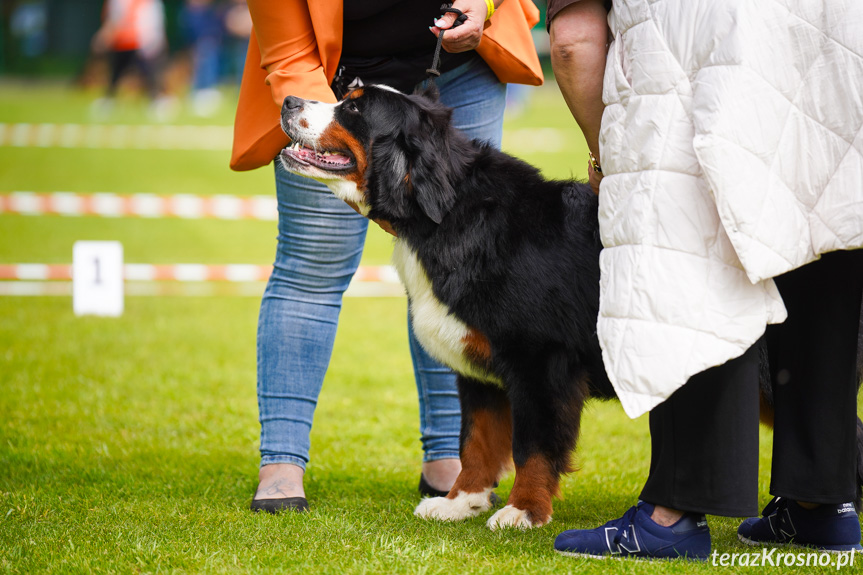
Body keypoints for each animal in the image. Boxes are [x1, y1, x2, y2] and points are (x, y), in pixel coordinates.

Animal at [278, 83, 863, 528]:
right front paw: (460, 503)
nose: (286, 99)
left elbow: (533, 446)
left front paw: (523, 512)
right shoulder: (480, 369)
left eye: (353, 108)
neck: (445, 220)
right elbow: (476, 443)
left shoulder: (540, 363)